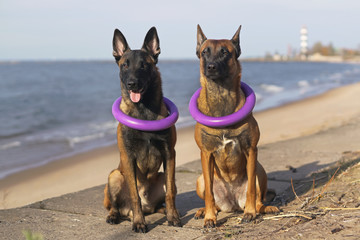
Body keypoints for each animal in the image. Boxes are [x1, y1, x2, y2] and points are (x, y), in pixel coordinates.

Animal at [102, 27, 181, 232]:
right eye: (125, 65)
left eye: (144, 66)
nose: (132, 83)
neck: (143, 111)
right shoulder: (128, 156)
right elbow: (134, 195)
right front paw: (139, 222)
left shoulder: (169, 153)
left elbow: (170, 192)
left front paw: (173, 217)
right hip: (114, 176)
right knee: (116, 206)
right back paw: (115, 216)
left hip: (161, 176)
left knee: (164, 198)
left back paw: (163, 211)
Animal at [194, 25, 278, 228]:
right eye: (204, 52)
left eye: (225, 52)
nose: (211, 67)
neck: (221, 95)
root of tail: (231, 204)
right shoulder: (205, 154)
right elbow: (209, 194)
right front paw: (209, 218)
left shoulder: (251, 150)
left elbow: (251, 191)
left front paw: (250, 213)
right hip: (200, 180)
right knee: (212, 199)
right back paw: (204, 211)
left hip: (259, 171)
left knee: (258, 199)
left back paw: (262, 208)